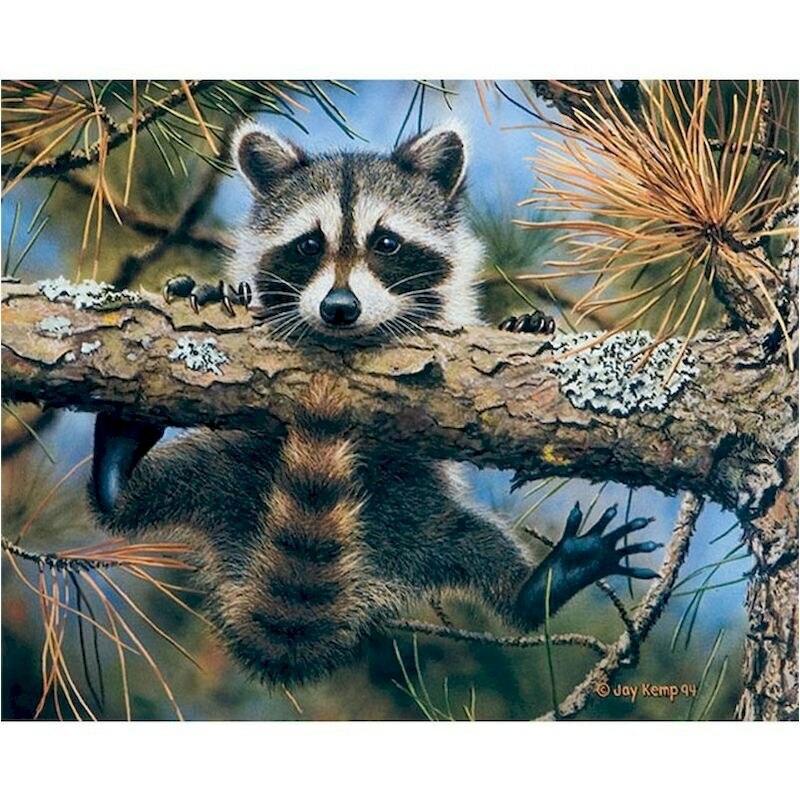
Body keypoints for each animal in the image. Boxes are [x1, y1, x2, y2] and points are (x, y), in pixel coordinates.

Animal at [90, 123, 659, 687]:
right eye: (309, 244)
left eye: (386, 243)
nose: (339, 308)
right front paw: (218, 290)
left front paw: (526, 324)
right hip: (224, 469)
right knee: (130, 503)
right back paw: (117, 464)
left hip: (425, 512)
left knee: (488, 558)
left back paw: (541, 584)